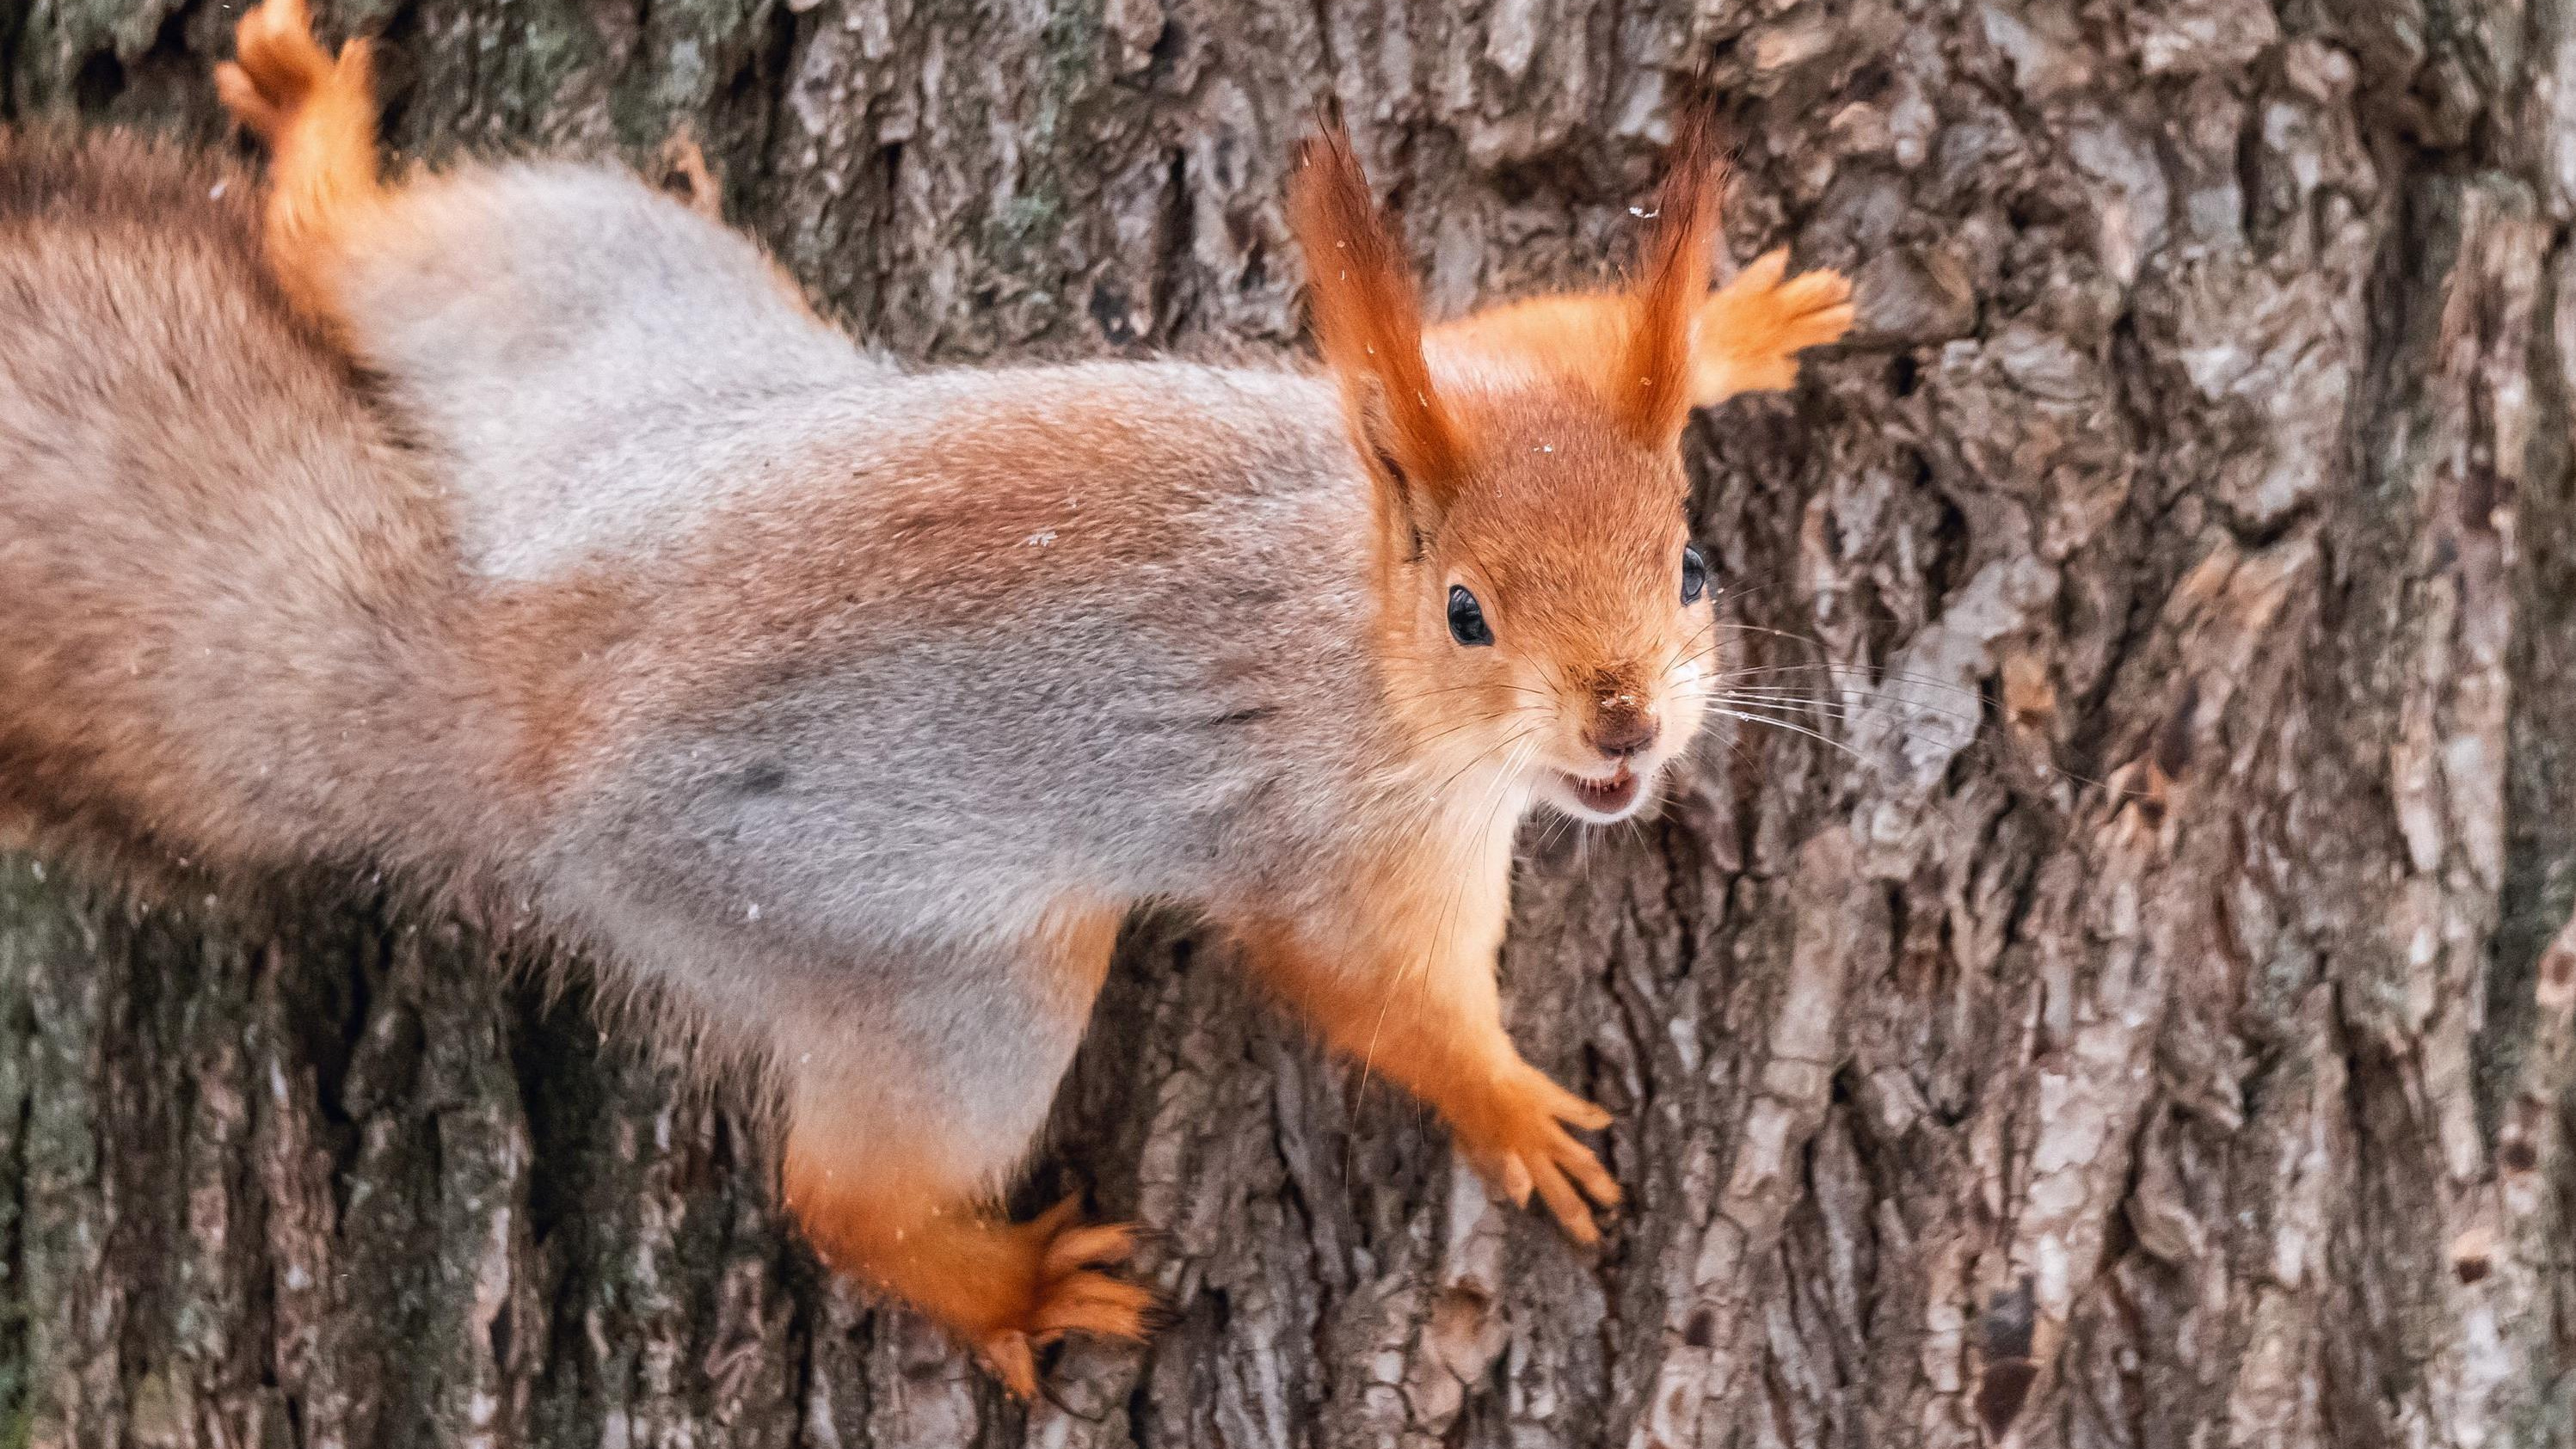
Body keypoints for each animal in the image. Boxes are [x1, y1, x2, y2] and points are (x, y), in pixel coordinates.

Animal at [4, 0, 1854, 1390]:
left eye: (1691, 562)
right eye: (1469, 613)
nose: (1623, 720)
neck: (1347, 583)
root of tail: (514, 673)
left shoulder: (1460, 378)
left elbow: (1544, 329)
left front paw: (1728, 322)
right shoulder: (1335, 840)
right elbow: (1374, 993)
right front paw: (1511, 1106)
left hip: (605, 321)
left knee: (344, 250)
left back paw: (307, 123)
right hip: (923, 948)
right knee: (837, 1191)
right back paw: (1008, 1285)